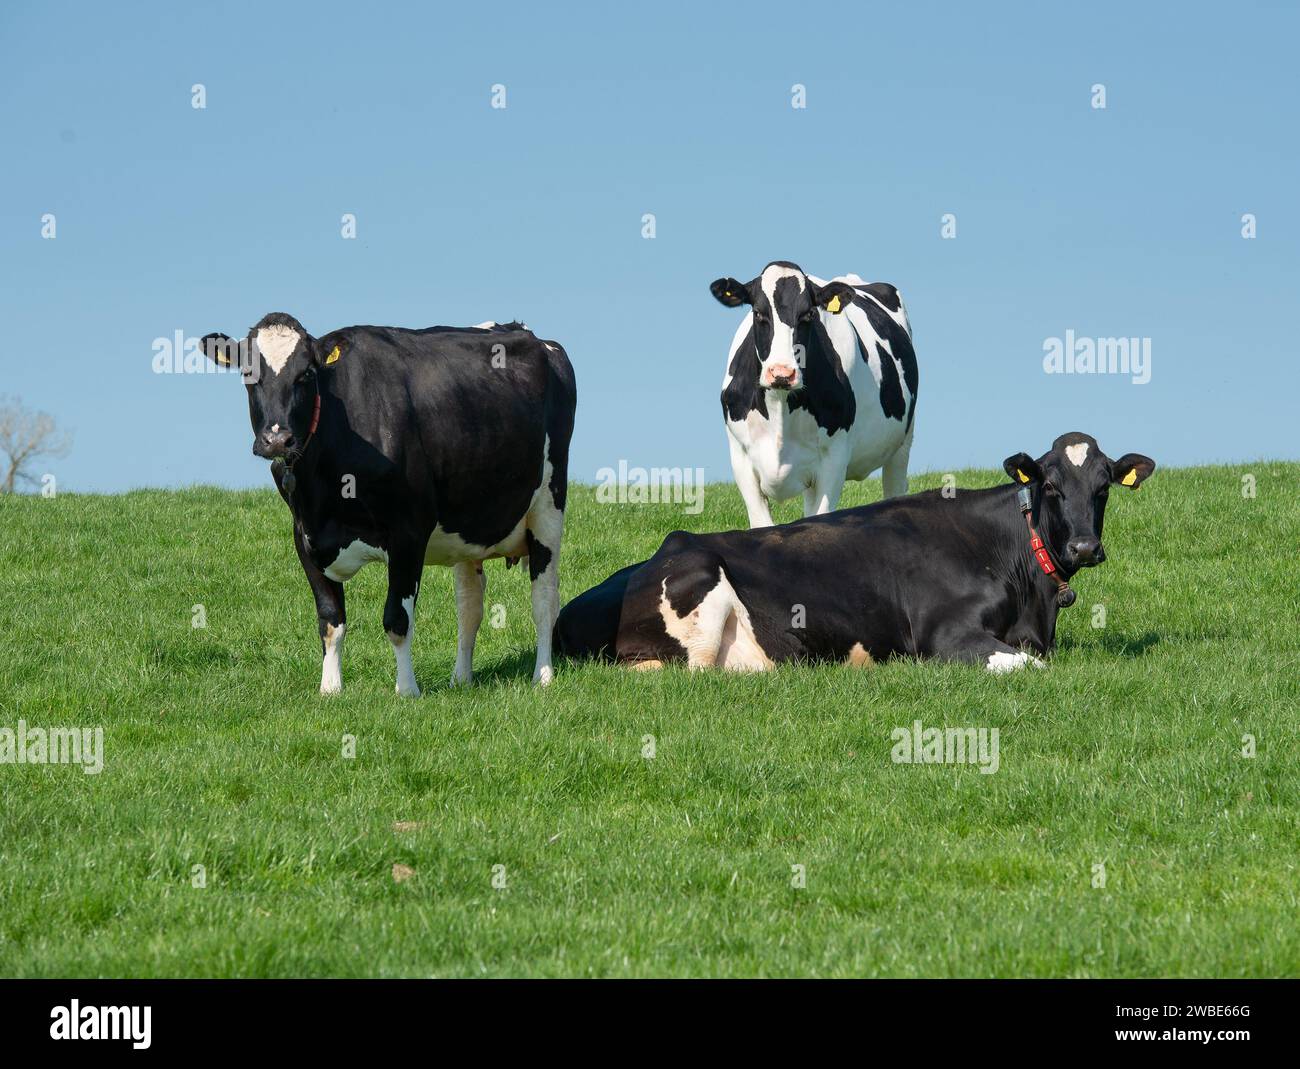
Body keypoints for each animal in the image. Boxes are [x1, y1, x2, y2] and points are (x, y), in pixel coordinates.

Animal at [200, 309, 577, 697]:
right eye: (248, 374)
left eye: (306, 374)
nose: (277, 439)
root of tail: (526, 333)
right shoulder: (305, 537)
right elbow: (330, 620)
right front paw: (330, 689)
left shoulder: (408, 532)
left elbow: (397, 619)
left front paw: (407, 690)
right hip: (468, 527)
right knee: (469, 606)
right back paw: (461, 679)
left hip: (548, 506)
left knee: (544, 598)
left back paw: (542, 675)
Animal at [559, 431, 1159, 676]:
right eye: (1051, 485)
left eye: (1103, 487)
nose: (1085, 546)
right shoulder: (946, 635)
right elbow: (1031, 668)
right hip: (698, 583)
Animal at [712, 260, 915, 527]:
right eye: (757, 312)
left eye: (808, 314)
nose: (782, 373)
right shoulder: (741, 458)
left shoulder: (834, 459)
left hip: (902, 442)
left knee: (895, 485)